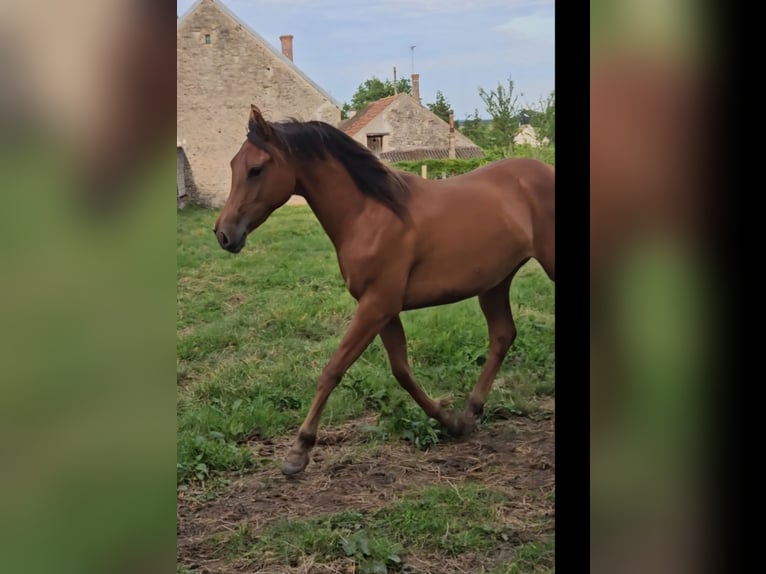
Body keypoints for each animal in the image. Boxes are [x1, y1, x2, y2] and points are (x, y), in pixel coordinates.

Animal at [213, 104, 556, 476]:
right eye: (232, 165)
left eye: (256, 169)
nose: (224, 234)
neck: (370, 213)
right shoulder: (384, 310)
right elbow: (401, 370)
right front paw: (451, 422)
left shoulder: (377, 306)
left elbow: (333, 369)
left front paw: (298, 451)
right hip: (495, 283)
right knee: (503, 335)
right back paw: (471, 411)